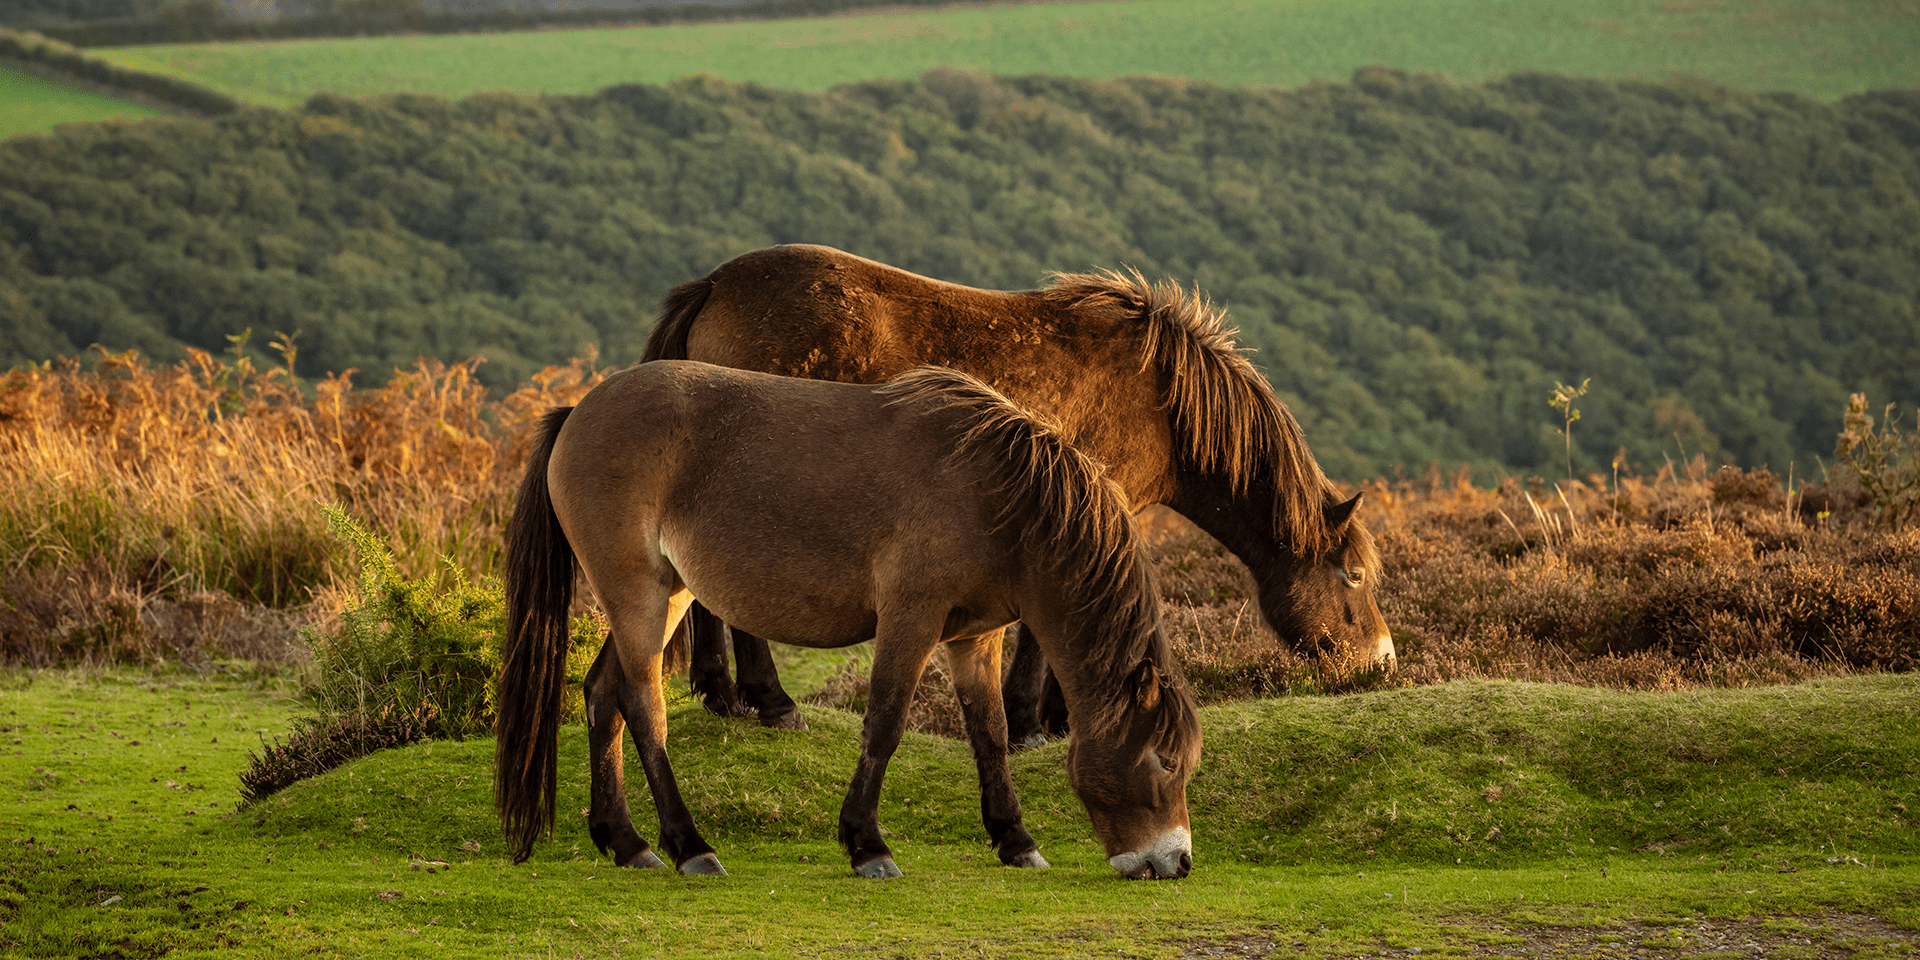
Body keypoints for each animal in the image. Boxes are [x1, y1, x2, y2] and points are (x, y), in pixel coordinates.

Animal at [496, 360, 1203, 880]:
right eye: (1165, 760)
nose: (1176, 862)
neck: (1001, 500)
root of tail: (577, 413)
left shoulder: (975, 637)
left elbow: (991, 734)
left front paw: (1015, 840)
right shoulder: (911, 619)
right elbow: (885, 724)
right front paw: (868, 845)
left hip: (667, 597)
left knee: (602, 695)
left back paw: (625, 841)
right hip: (637, 596)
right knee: (644, 708)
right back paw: (689, 845)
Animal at [640, 244, 1391, 741]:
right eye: (1352, 576)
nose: (1380, 662)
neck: (1159, 400)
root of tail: (715, 283)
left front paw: (1054, 716)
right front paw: (1039, 720)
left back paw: (721, 694)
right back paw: (770, 701)